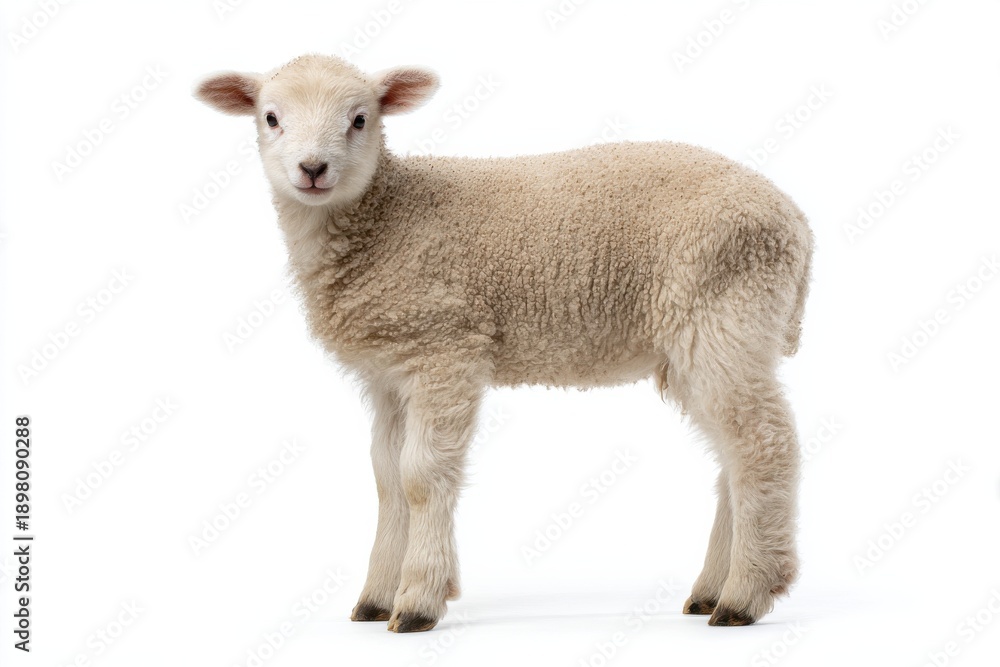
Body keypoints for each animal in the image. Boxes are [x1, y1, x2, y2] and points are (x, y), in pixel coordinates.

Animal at [195, 54, 813, 632]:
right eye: (270, 117)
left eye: (360, 119)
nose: (313, 169)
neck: (386, 216)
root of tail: (796, 223)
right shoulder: (390, 373)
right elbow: (386, 477)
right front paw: (375, 598)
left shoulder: (445, 347)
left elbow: (421, 477)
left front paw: (417, 600)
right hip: (698, 340)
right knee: (733, 455)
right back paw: (713, 588)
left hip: (725, 313)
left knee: (763, 445)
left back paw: (745, 594)